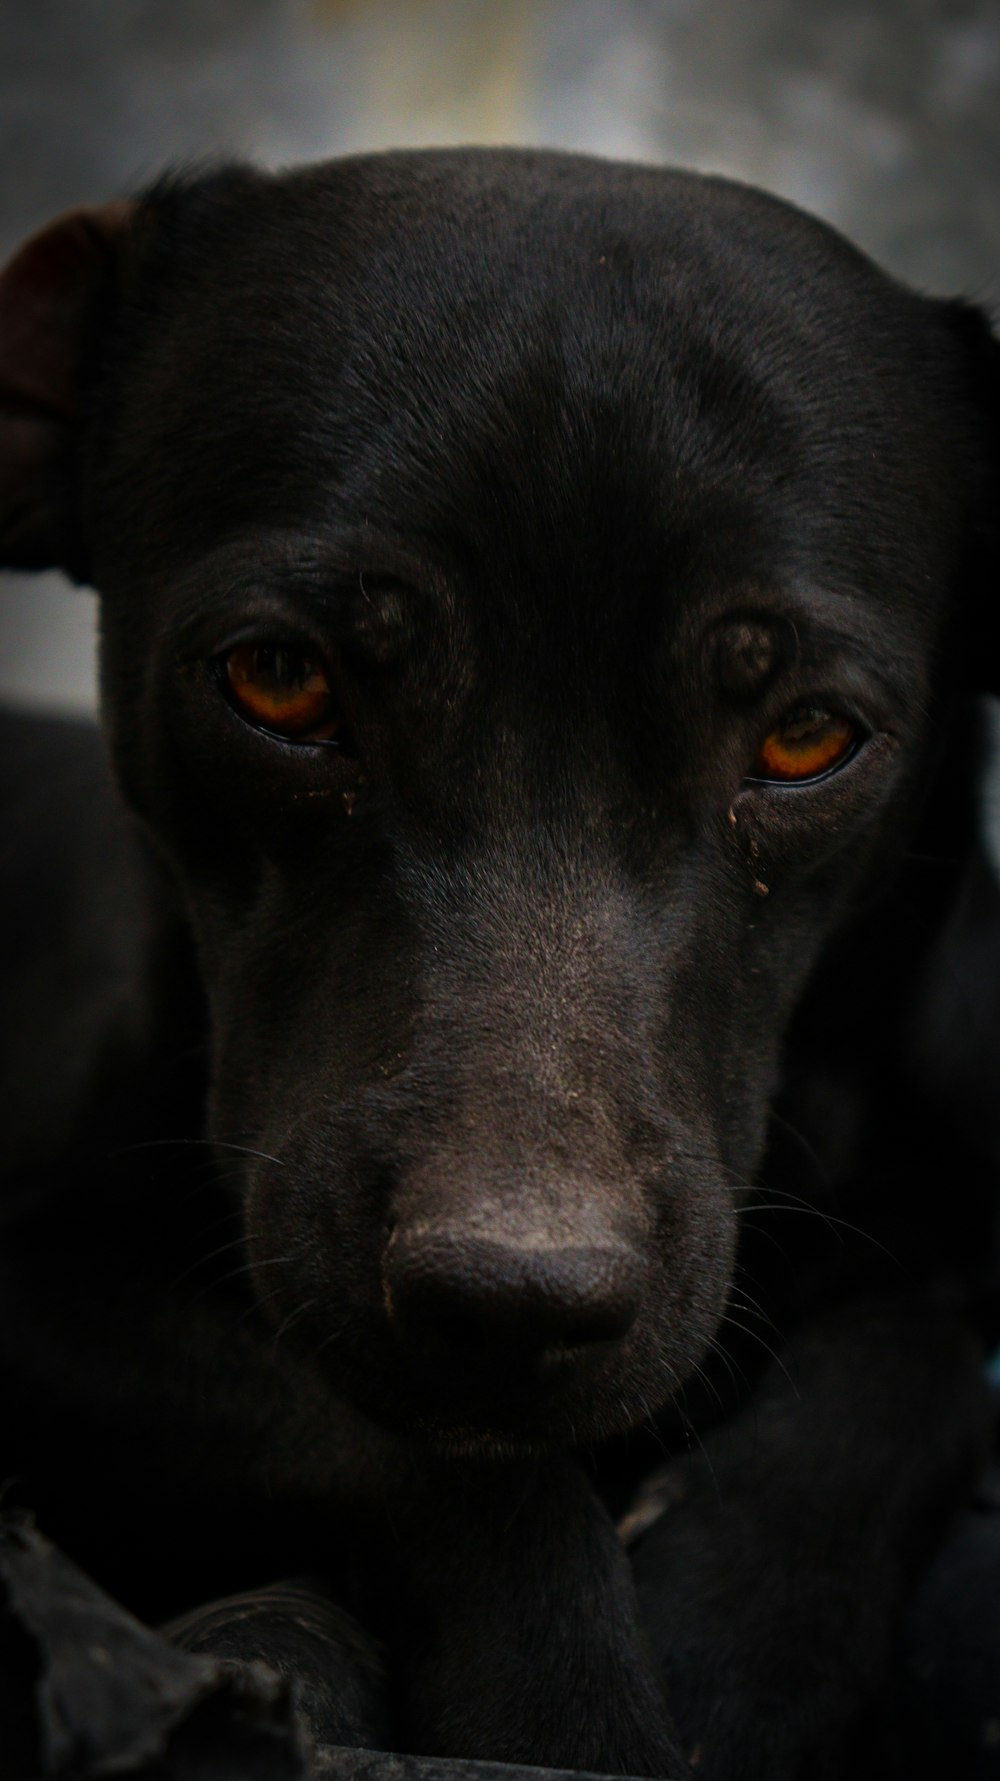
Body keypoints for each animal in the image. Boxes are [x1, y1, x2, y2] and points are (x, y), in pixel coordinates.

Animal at [0, 146, 991, 1773]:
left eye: (805, 734)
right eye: (279, 680)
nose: (514, 1302)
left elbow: (912, 1355)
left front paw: (737, 1634)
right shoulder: (52, 1288)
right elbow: (430, 1461)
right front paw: (581, 1698)